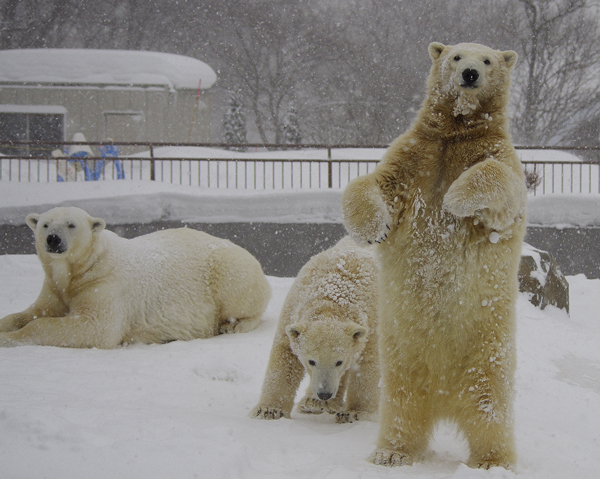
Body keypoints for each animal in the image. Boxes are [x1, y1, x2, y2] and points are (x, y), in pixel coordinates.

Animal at [0, 206, 272, 348]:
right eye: (45, 224)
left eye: (71, 224)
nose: (53, 240)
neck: (83, 267)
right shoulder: (54, 287)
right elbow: (34, 312)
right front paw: (6, 326)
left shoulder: (105, 284)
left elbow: (95, 327)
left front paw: (7, 339)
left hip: (228, 269)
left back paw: (234, 325)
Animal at [250, 237, 380, 424]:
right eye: (311, 361)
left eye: (339, 361)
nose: (324, 393)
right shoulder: (293, 309)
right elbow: (284, 357)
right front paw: (268, 410)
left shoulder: (371, 320)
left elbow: (367, 363)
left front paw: (355, 413)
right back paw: (313, 403)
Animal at [344, 43, 528, 470]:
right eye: (457, 56)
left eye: (488, 60)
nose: (470, 74)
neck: (456, 132)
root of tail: (445, 402)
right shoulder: (414, 158)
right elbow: (372, 183)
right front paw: (373, 229)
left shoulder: (494, 153)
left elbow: (502, 182)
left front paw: (456, 198)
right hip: (400, 359)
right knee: (401, 405)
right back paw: (391, 452)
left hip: (487, 352)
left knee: (489, 407)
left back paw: (492, 461)